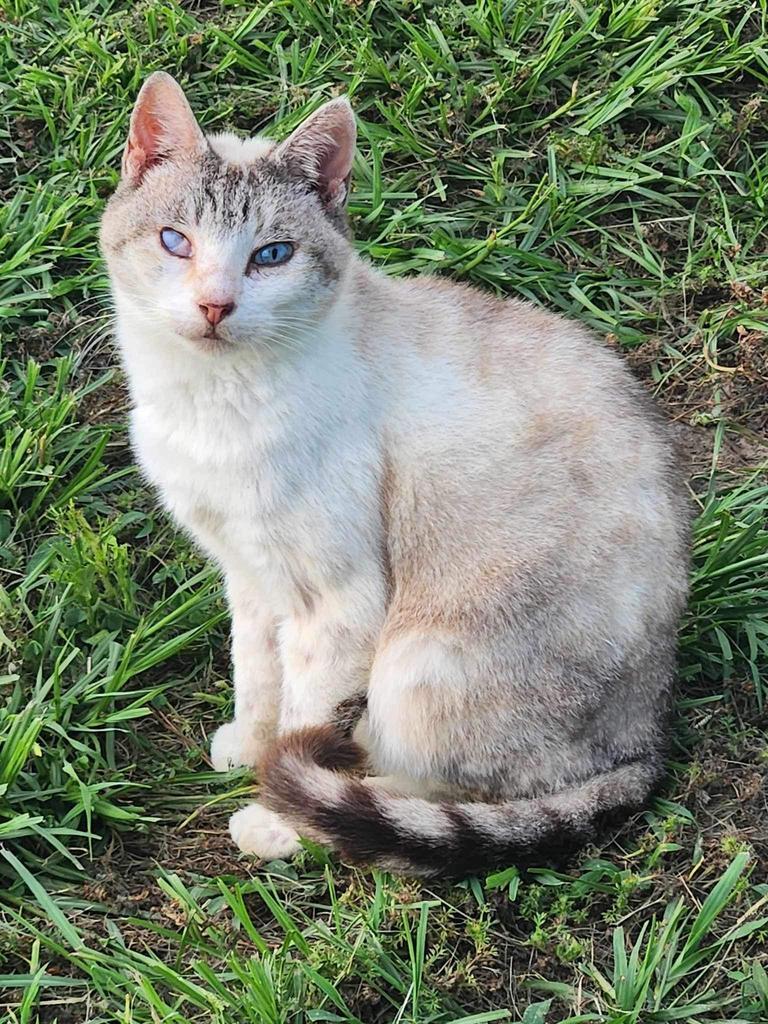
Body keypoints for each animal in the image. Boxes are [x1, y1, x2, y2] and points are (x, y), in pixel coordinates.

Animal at [100, 72, 692, 876]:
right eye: (174, 242)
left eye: (271, 255)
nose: (215, 304)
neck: (210, 403)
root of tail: (648, 740)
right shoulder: (249, 573)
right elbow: (256, 678)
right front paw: (247, 746)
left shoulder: (338, 603)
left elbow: (303, 718)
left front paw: (275, 805)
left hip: (416, 663)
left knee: (442, 792)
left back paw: (287, 823)